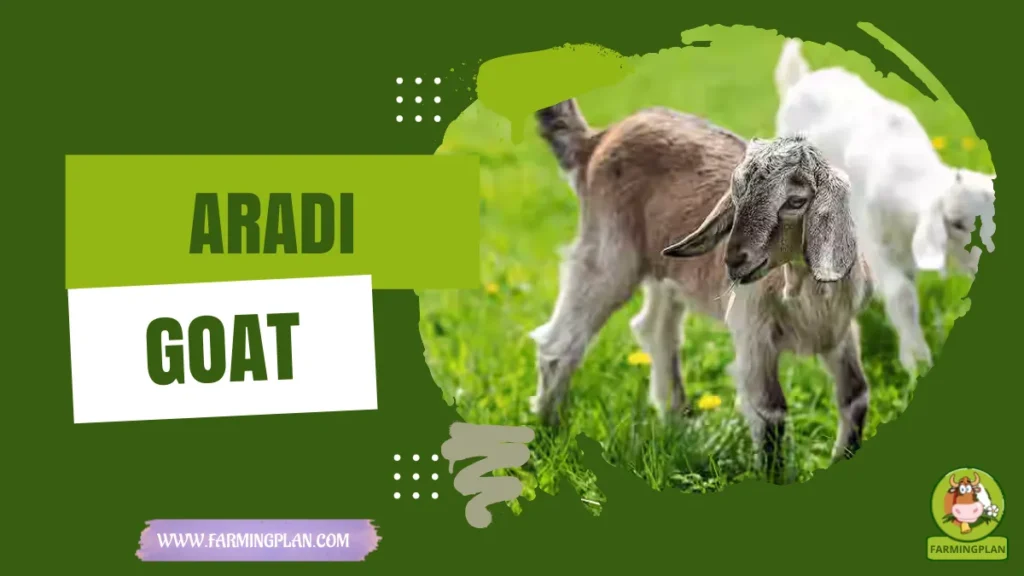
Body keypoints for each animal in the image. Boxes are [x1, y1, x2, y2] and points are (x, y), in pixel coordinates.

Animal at [531, 100, 872, 477]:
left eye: (796, 201)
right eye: (737, 195)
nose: (734, 259)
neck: (804, 297)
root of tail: (598, 139)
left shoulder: (841, 332)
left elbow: (856, 394)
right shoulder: (752, 333)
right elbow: (770, 411)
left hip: (664, 272)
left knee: (656, 330)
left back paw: (677, 421)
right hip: (609, 254)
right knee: (558, 345)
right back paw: (550, 434)